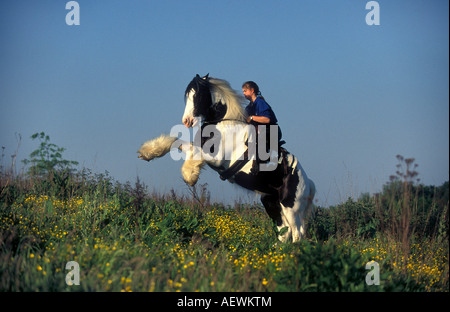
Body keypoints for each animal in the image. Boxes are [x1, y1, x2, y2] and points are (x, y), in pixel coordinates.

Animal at [137, 75, 316, 241]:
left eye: (198, 95)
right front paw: (149, 152)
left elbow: (196, 153)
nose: (186, 121)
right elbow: (177, 142)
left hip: (291, 207)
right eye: (188, 95)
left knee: (297, 233)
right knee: (284, 231)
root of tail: (308, 182)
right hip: (271, 203)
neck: (222, 124)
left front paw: (190, 175)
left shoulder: (217, 159)